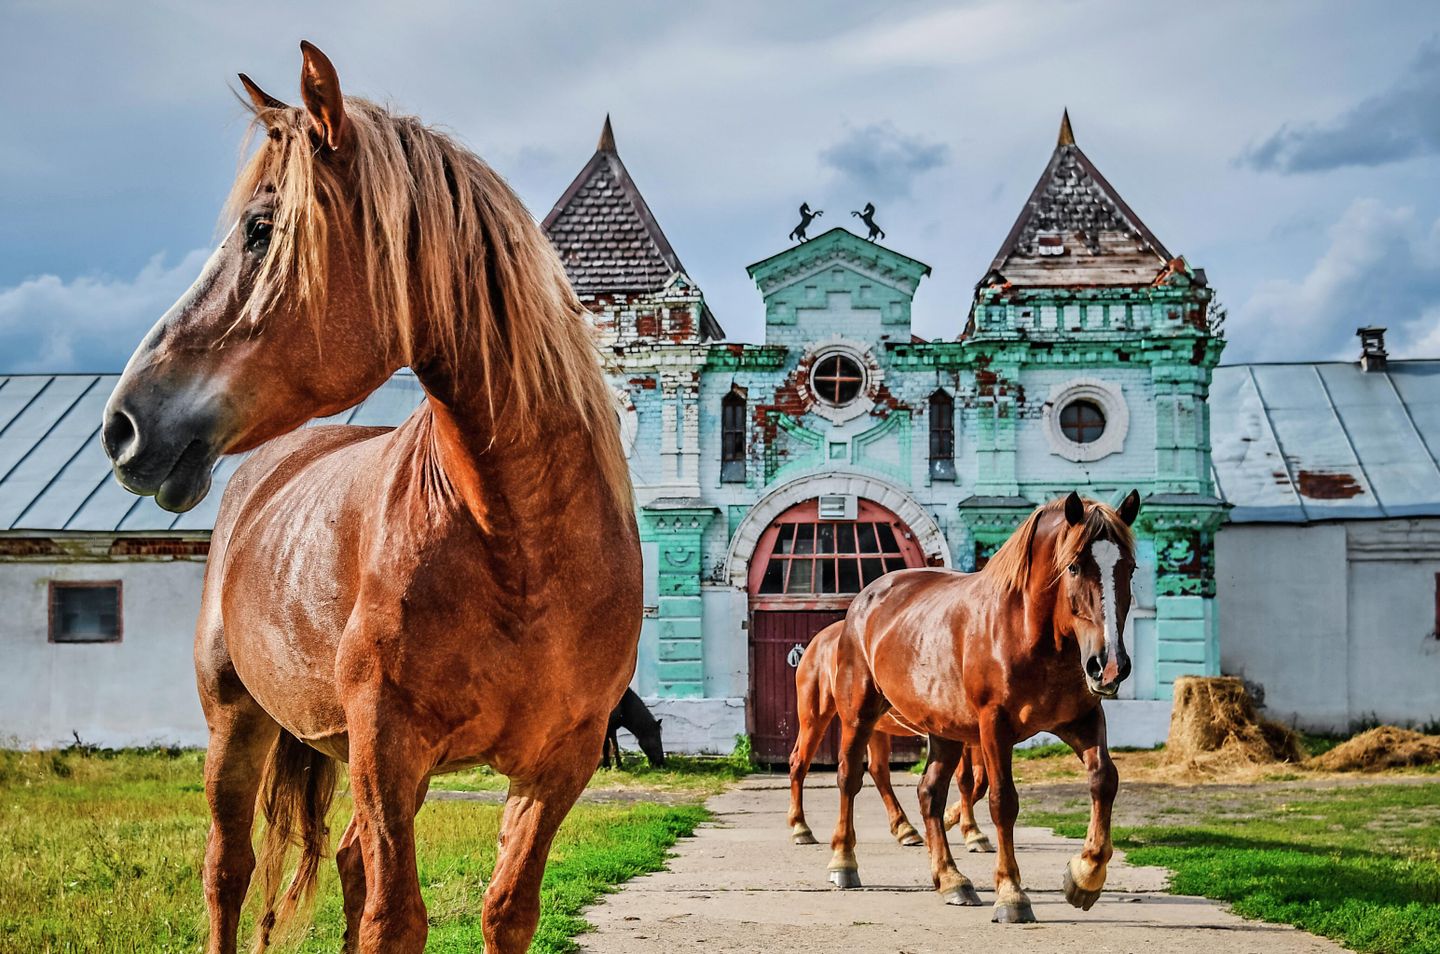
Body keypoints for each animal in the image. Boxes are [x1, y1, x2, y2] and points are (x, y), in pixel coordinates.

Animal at [100, 43, 640, 954]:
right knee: (229, 872)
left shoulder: (557, 764)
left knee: (346, 861)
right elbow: (396, 918)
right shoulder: (388, 746)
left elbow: (505, 911)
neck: (520, 544)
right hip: (234, 725)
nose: (124, 426)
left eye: (260, 230)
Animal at [787, 621, 994, 853]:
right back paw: (800, 827)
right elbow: (966, 780)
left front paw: (951, 819)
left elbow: (980, 783)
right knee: (799, 762)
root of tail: (818, 640)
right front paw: (971, 831)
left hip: (874, 726)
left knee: (878, 770)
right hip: (815, 716)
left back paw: (905, 828)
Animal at [823, 491, 1140, 924]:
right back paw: (843, 862)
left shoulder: (1082, 720)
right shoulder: (995, 726)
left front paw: (1085, 875)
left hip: (943, 730)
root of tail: (866, 599)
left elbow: (1105, 780)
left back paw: (951, 879)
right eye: (1074, 566)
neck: (1027, 632)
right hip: (859, 714)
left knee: (929, 794)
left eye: (1129, 568)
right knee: (849, 777)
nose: (1109, 665)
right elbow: (1003, 801)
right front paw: (1011, 894)